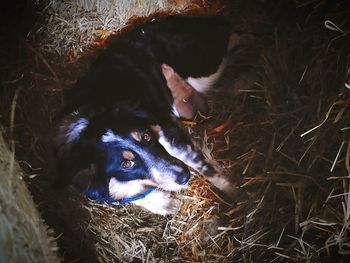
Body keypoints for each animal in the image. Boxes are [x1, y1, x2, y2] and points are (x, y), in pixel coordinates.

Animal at [53, 14, 235, 216]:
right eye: (126, 164)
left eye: (147, 137)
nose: (184, 176)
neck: (90, 120)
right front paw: (163, 202)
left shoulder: (168, 132)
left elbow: (206, 167)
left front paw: (235, 191)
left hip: (203, 68)